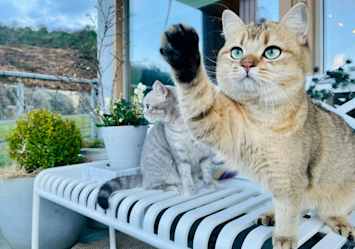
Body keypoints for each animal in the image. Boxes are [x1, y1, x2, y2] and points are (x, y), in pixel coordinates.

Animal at [98, 80, 220, 209]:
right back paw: (177, 186)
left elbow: (207, 170)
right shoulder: (180, 154)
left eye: (147, 106)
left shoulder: (205, 151)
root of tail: (143, 175)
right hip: (165, 164)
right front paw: (188, 188)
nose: (143, 113)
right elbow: (185, 174)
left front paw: (209, 183)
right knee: (156, 186)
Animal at [160, 2, 355, 249]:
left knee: (325, 210)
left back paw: (340, 222)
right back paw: (270, 214)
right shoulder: (216, 122)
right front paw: (183, 53)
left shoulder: (290, 180)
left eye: (272, 52)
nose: (246, 64)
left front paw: (285, 238)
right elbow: (196, 93)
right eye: (237, 52)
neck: (261, 114)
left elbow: (289, 211)